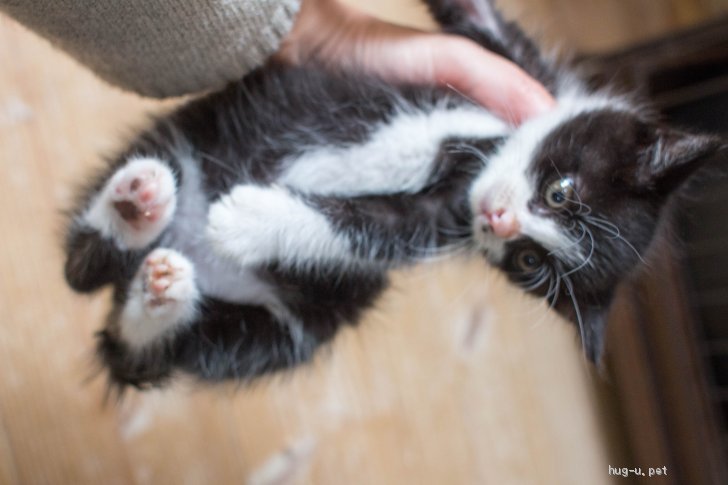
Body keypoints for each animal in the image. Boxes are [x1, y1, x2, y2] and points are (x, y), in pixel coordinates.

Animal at [64, 0, 724, 388]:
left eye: (529, 261)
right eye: (561, 193)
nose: (499, 219)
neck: (480, 157)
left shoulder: (434, 223)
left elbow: (368, 229)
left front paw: (250, 220)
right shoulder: (519, 69)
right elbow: (475, 22)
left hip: (291, 330)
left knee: (145, 339)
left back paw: (157, 283)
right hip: (186, 138)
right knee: (82, 265)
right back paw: (135, 203)